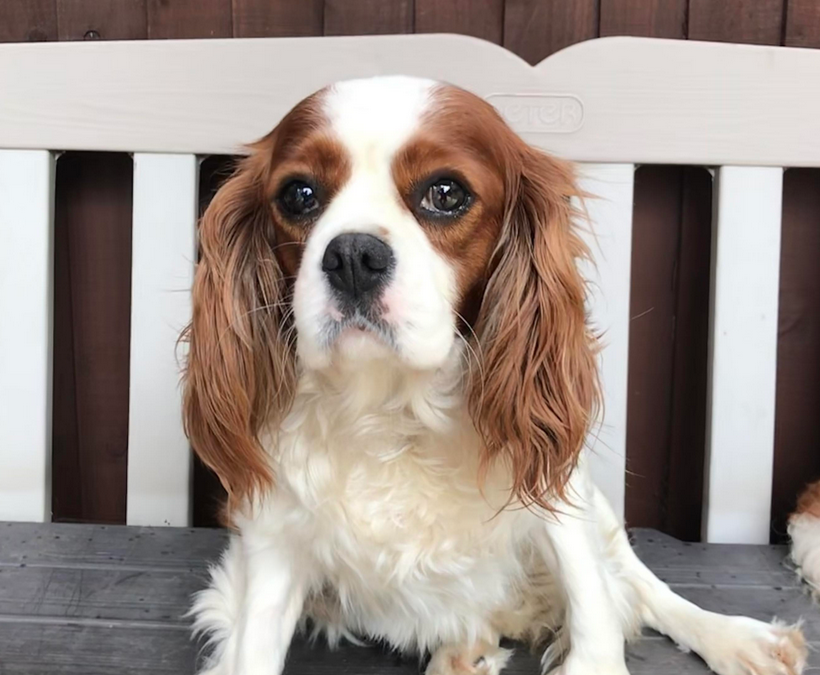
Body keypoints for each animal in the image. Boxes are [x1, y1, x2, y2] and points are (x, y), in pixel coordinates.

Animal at [181, 76, 808, 675]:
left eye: (446, 193)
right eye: (299, 194)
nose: (353, 255)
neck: (394, 409)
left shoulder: (558, 494)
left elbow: (595, 601)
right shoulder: (271, 532)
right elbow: (252, 648)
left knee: (638, 583)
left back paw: (737, 639)